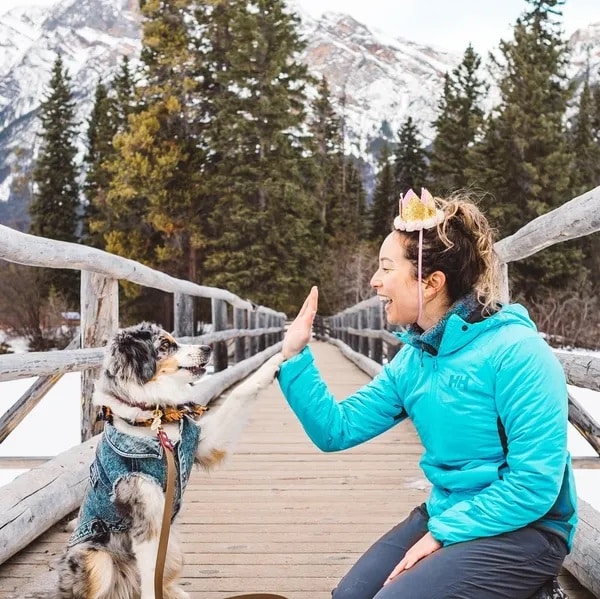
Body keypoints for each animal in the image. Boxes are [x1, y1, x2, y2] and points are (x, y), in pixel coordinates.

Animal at [57, 324, 282, 599]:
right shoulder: (146, 506)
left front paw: (277, 358)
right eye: (165, 345)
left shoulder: (203, 442)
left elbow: (239, 394)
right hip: (95, 560)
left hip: (173, 549)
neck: (155, 419)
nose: (207, 348)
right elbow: (150, 566)